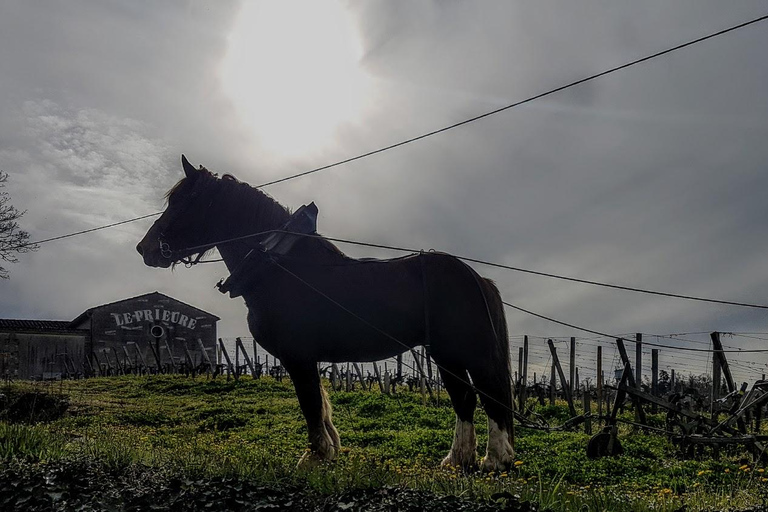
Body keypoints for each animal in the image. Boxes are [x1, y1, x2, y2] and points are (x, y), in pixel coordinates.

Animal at [138, 156, 516, 472]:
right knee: (465, 397)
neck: (279, 266)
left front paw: (315, 455)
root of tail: (476, 277)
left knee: (487, 393)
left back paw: (494, 459)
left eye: (183, 201)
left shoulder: (297, 356)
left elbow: (310, 402)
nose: (145, 248)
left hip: (463, 350)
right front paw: (329, 450)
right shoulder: (306, 357)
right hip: (446, 354)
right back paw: (458, 458)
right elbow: (320, 401)